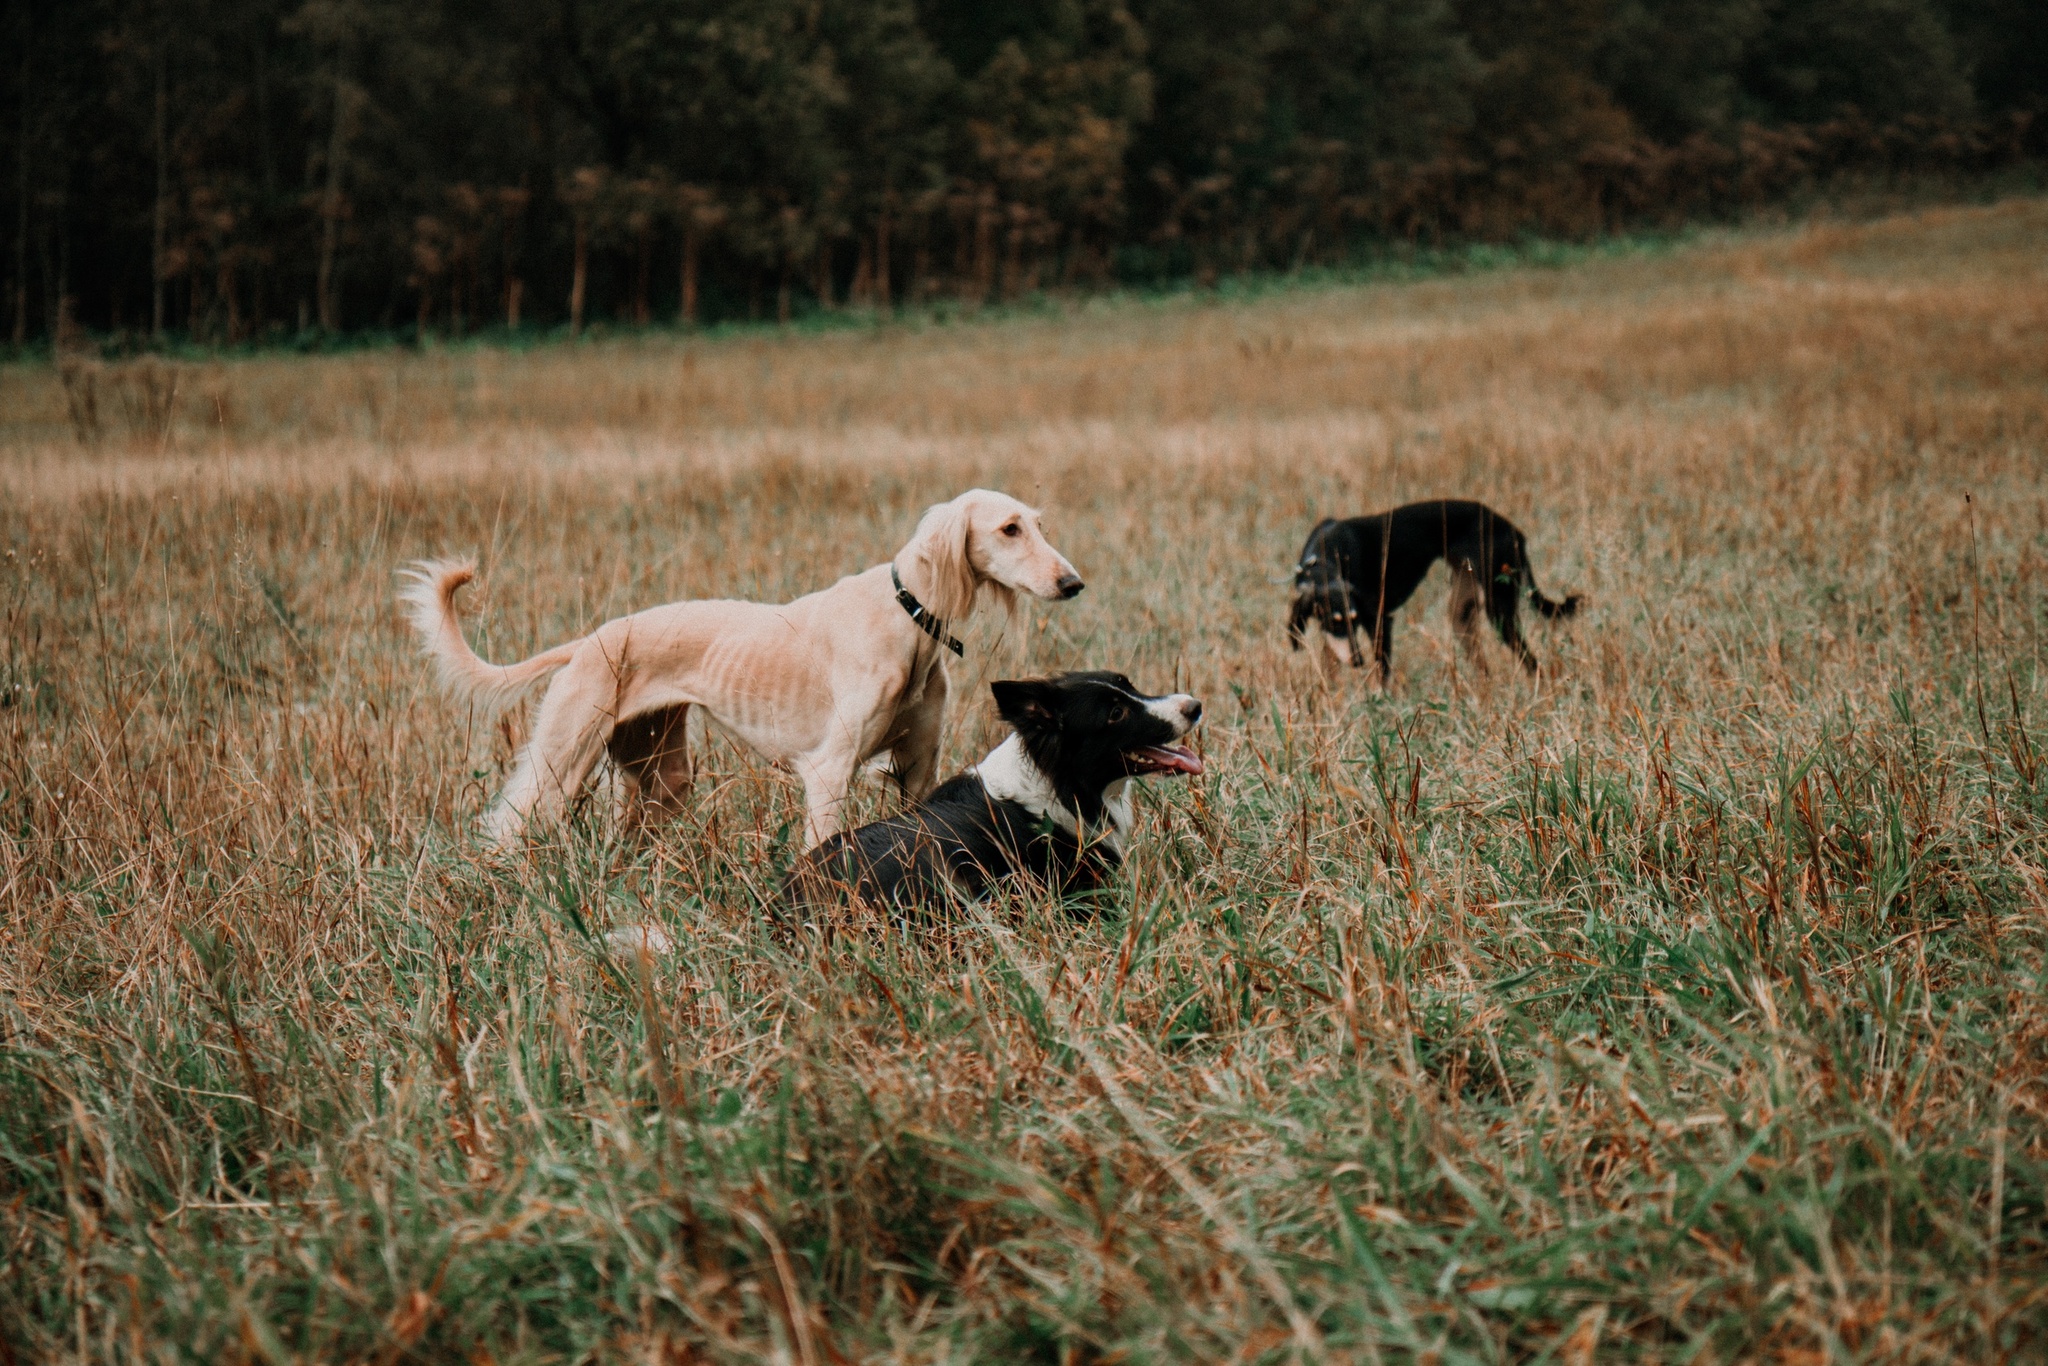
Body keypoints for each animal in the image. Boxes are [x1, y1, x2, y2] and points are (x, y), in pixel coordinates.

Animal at [405, 491, 1097, 847]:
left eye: (1038, 525)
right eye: (1009, 529)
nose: (1073, 584)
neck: (907, 616)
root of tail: (592, 639)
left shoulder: (918, 769)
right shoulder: (828, 772)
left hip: (661, 774)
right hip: (562, 763)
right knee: (508, 825)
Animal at [1294, 499, 1581, 679]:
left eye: (1352, 620)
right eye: (1334, 622)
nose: (1357, 662)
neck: (1326, 557)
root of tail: (1514, 531)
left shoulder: (1379, 621)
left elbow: (1382, 676)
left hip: (1499, 610)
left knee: (1532, 663)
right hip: (1462, 615)